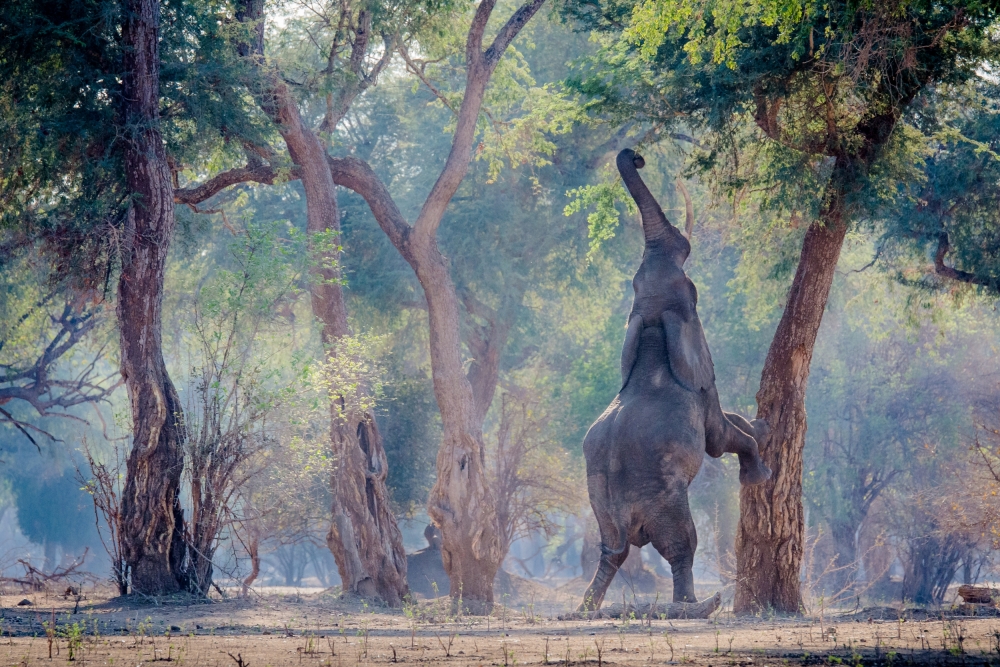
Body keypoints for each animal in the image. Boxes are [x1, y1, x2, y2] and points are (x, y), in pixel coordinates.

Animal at [579, 149, 772, 611]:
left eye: (634, 283)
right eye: (694, 291)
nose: (636, 156)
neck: (651, 323)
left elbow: (729, 425)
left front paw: (764, 425)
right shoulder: (700, 379)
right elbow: (719, 437)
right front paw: (760, 474)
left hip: (601, 509)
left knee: (611, 553)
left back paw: (585, 606)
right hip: (664, 499)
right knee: (681, 546)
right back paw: (697, 605)